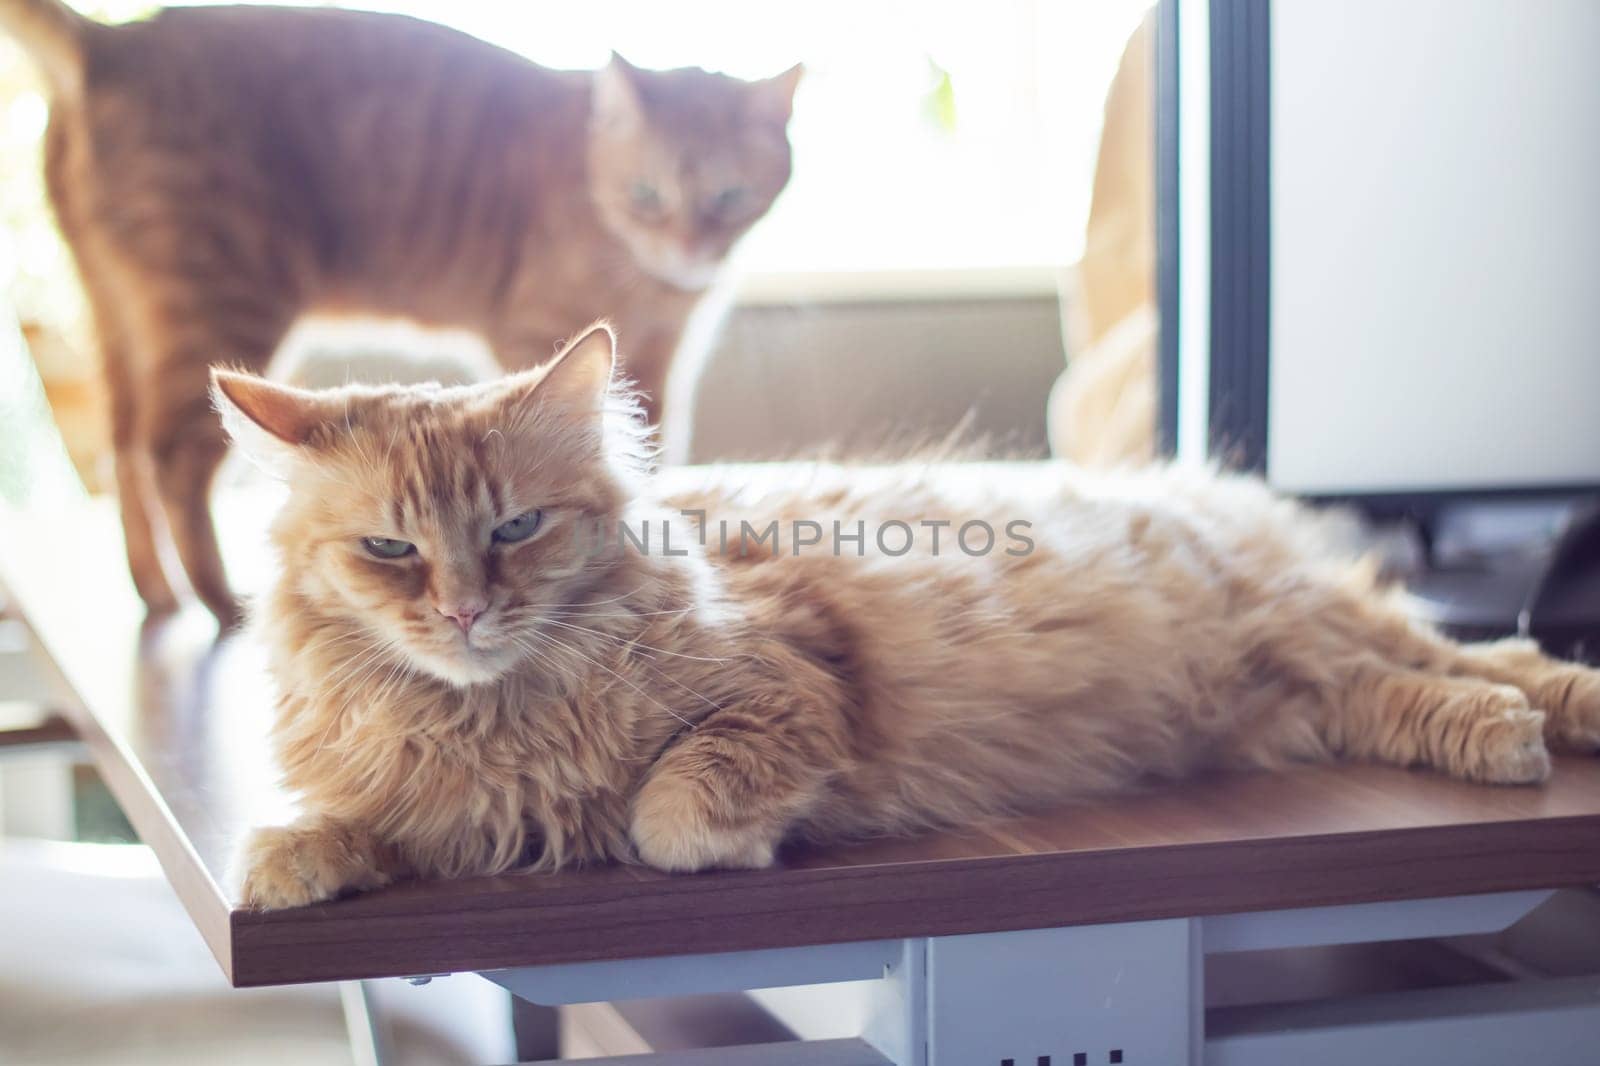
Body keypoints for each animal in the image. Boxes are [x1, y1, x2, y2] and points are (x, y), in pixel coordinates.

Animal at [0, 0, 800, 627]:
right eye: (646, 194)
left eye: (731, 197)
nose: (690, 249)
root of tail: (113, 42)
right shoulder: (536, 329)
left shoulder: (663, 360)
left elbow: (650, 443)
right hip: (216, 305)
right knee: (169, 459)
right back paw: (219, 603)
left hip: (118, 319)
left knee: (122, 450)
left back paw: (156, 592)